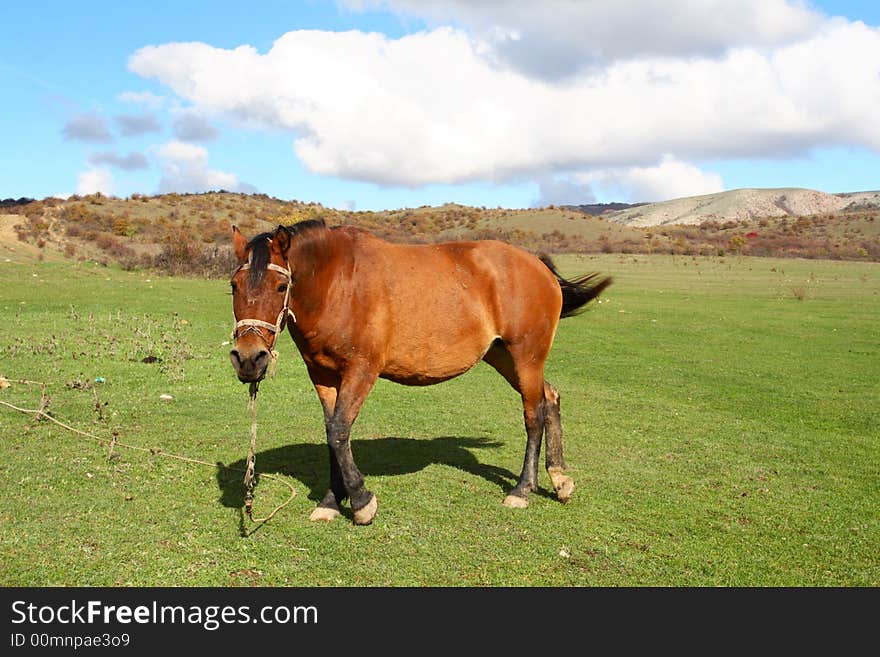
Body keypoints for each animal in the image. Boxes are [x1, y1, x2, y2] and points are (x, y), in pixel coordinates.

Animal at [230, 219, 608, 524]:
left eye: (281, 287)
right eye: (234, 285)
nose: (248, 359)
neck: (338, 284)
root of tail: (537, 265)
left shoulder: (361, 371)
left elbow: (339, 431)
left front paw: (362, 501)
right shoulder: (323, 376)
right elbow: (331, 433)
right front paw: (330, 502)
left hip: (526, 357)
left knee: (534, 415)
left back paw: (522, 489)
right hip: (502, 357)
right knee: (550, 398)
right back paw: (559, 479)